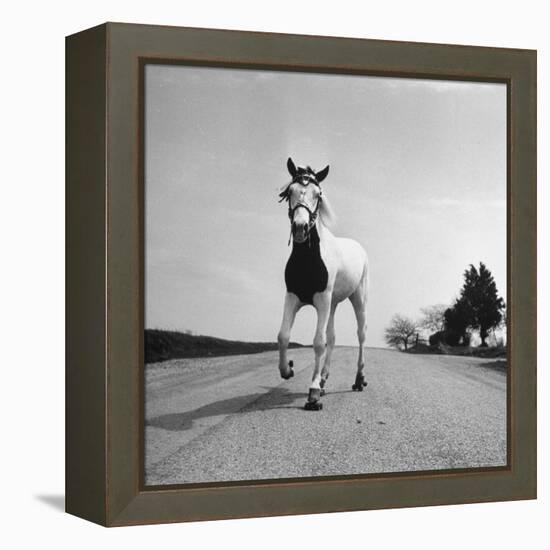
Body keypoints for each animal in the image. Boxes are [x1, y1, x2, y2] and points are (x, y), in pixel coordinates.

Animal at [276, 157, 370, 412]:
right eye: (290, 191)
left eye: (318, 194)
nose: (300, 227)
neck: (309, 260)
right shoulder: (293, 297)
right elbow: (284, 335)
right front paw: (287, 369)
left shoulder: (321, 299)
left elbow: (318, 342)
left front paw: (313, 393)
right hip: (333, 303)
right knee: (333, 336)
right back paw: (325, 378)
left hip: (357, 298)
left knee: (361, 334)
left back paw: (358, 380)